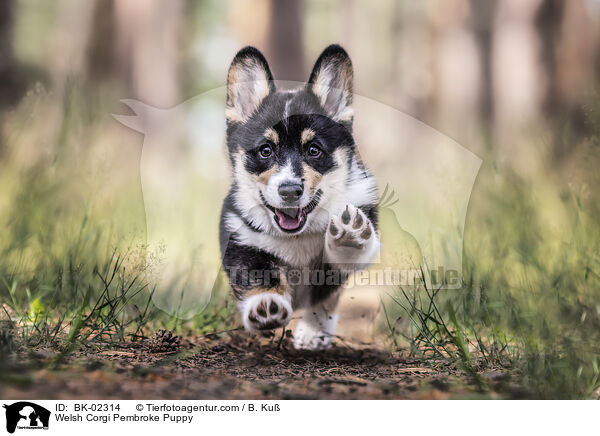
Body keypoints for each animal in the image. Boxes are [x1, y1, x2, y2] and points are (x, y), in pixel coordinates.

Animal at [220, 44, 380, 350]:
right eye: (266, 150)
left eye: (314, 150)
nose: (289, 191)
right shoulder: (241, 240)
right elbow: (258, 274)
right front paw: (265, 306)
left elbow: (338, 273)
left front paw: (349, 235)